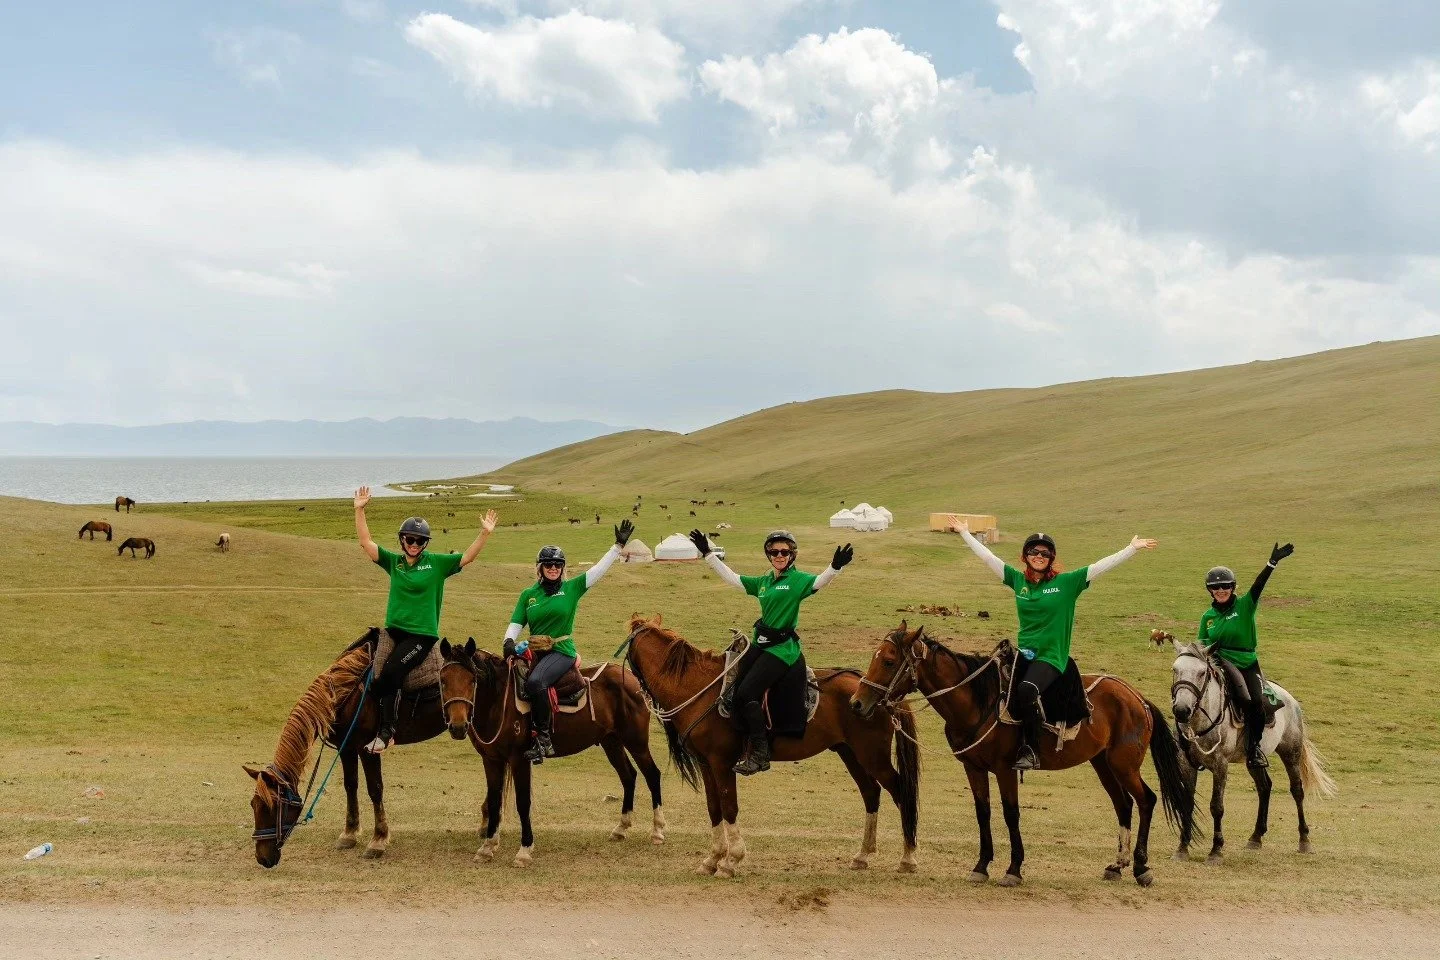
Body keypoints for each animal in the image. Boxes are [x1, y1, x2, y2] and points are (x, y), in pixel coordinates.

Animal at [244, 629, 446, 868]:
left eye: (272, 806)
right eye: (253, 804)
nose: (262, 858)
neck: (346, 694)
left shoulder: (367, 749)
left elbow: (375, 789)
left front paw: (378, 840)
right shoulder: (347, 747)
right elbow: (351, 786)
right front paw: (349, 834)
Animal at [437, 638, 665, 868]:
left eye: (472, 680)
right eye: (443, 680)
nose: (458, 726)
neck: (499, 701)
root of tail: (632, 678)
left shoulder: (519, 759)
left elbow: (523, 802)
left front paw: (524, 849)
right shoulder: (491, 759)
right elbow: (494, 801)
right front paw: (487, 847)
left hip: (636, 741)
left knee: (652, 774)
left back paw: (657, 830)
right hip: (611, 742)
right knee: (629, 776)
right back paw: (621, 828)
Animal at [619, 614, 920, 878]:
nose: (635, 689)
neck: (698, 687)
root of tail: (881, 693)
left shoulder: (722, 763)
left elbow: (729, 807)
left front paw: (731, 860)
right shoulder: (706, 764)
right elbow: (714, 808)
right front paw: (712, 859)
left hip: (873, 756)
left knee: (901, 793)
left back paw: (908, 858)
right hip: (851, 753)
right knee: (871, 793)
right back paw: (863, 855)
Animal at [850, 622, 1195, 887]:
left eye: (889, 661)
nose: (856, 703)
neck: (978, 702)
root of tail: (1137, 697)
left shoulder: (1005, 769)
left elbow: (1011, 814)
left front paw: (1013, 869)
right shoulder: (973, 768)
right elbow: (983, 813)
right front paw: (981, 866)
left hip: (1124, 765)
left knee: (1146, 800)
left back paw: (1141, 867)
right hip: (1103, 764)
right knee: (1123, 804)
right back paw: (1117, 865)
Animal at [1152, 630, 1336, 862]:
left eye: (1202, 673)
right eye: (1175, 669)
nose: (1182, 710)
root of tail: (1291, 700)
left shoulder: (1220, 764)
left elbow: (1217, 806)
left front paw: (1216, 850)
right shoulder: (1186, 763)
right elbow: (1187, 802)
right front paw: (1182, 848)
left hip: (1290, 752)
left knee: (1297, 790)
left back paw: (1304, 840)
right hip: (1253, 760)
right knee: (1264, 787)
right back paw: (1256, 837)